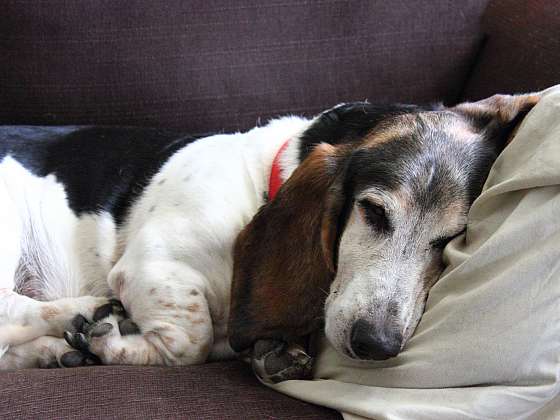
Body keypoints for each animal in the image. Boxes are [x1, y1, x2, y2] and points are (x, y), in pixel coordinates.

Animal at [0, 93, 540, 382]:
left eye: (450, 239)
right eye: (371, 211)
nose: (376, 344)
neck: (262, 182)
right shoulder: (153, 266)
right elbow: (192, 341)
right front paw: (115, 342)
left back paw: (53, 350)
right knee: (11, 306)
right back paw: (83, 314)